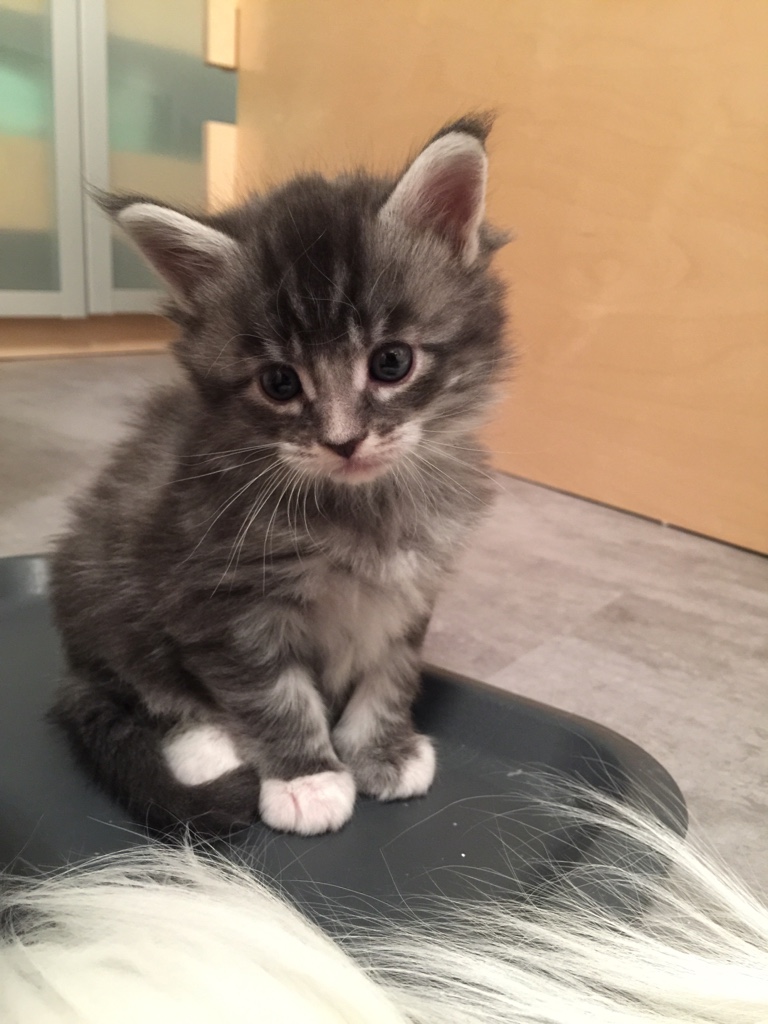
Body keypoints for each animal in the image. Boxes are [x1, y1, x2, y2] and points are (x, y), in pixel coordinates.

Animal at [49, 114, 510, 836]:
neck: (361, 508)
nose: (343, 442)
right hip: (105, 586)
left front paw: (382, 748)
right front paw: (308, 776)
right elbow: (272, 692)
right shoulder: (221, 600)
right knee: (138, 684)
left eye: (392, 362)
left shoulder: (412, 585)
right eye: (279, 383)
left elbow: (391, 670)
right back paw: (209, 743)